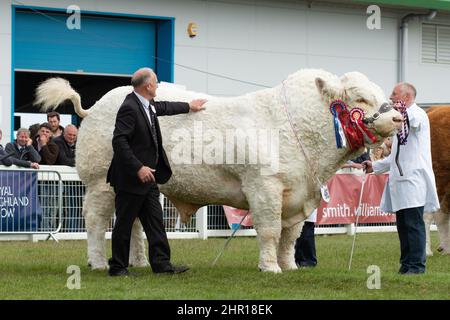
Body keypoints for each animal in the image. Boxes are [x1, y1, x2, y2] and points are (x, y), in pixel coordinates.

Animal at [34, 69, 400, 272]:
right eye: (360, 99)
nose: (397, 117)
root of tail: (96, 105)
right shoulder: (264, 188)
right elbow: (270, 232)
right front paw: (270, 268)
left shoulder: (299, 196)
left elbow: (290, 237)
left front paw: (290, 265)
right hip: (101, 183)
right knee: (97, 222)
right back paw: (98, 262)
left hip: (139, 183)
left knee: (135, 222)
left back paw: (138, 262)